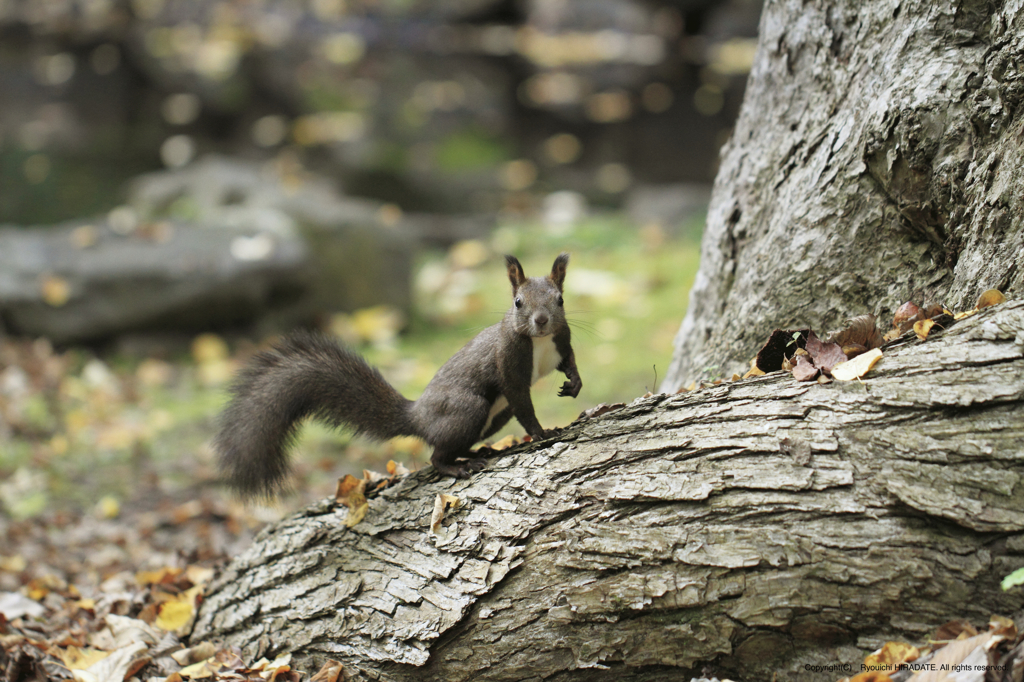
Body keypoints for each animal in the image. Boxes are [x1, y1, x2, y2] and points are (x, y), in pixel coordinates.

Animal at [214, 251, 585, 497]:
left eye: (561, 300)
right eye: (518, 302)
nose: (541, 320)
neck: (539, 342)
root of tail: (417, 416)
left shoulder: (562, 341)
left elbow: (569, 362)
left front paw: (574, 385)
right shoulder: (507, 362)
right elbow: (522, 401)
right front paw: (541, 433)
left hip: (493, 417)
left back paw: (476, 453)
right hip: (468, 409)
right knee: (436, 456)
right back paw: (458, 465)